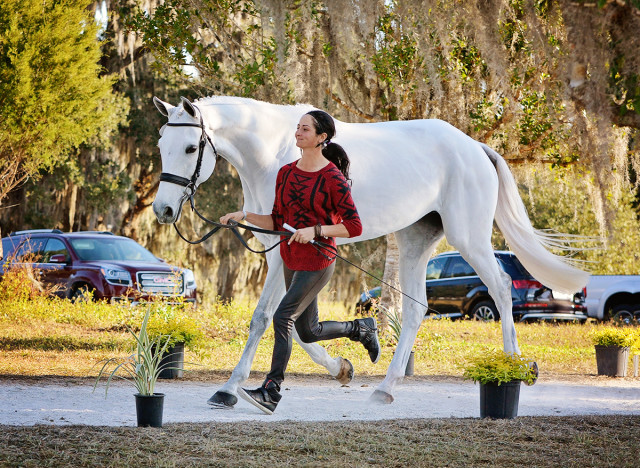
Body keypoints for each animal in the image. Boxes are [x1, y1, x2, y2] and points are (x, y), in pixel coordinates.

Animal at [151, 96, 592, 406]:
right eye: (160, 144)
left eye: (190, 148)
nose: (163, 210)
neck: (274, 153)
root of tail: (475, 147)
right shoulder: (286, 255)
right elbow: (300, 326)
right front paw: (342, 368)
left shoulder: (282, 251)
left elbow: (265, 319)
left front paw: (228, 389)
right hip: (415, 242)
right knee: (415, 309)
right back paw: (385, 387)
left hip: (470, 239)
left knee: (500, 288)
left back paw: (514, 367)